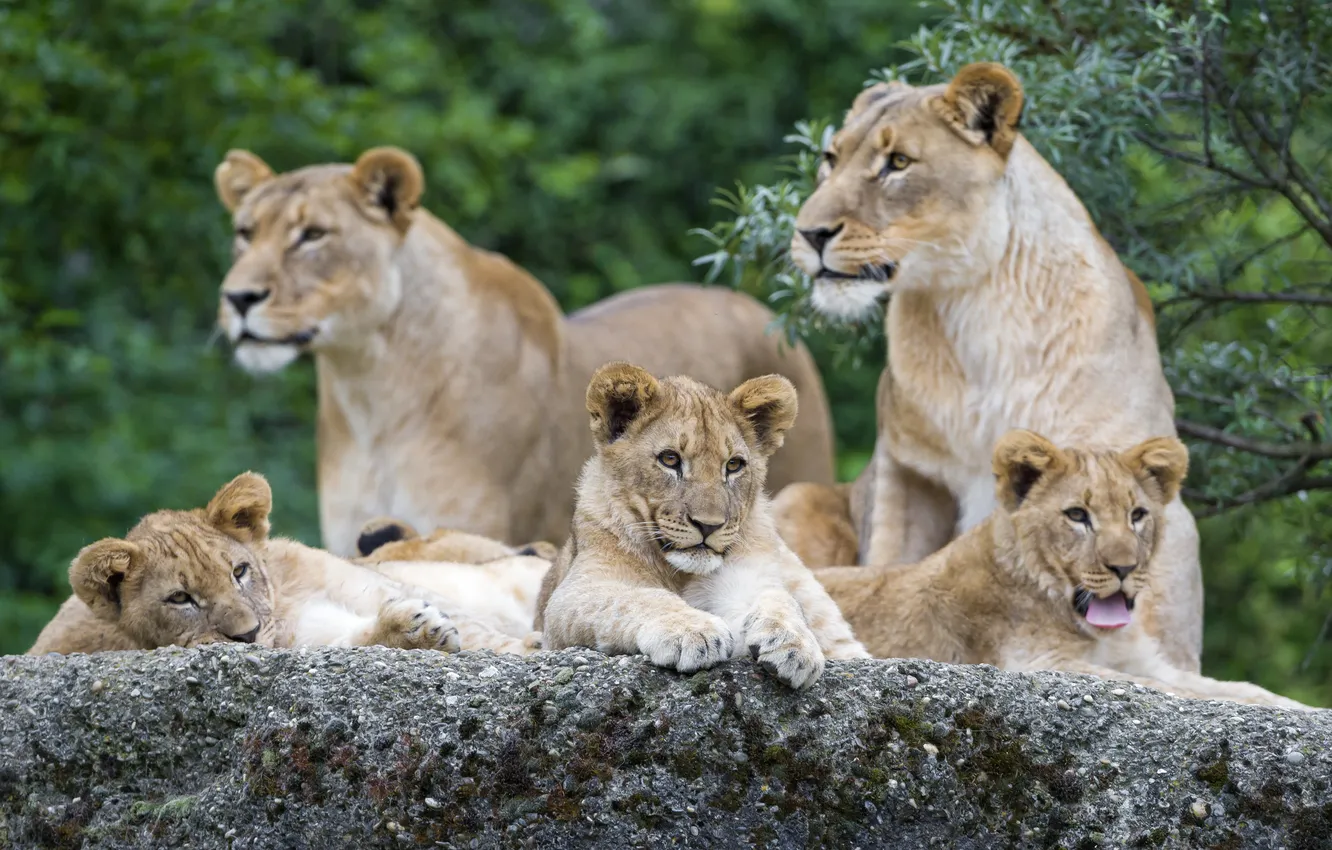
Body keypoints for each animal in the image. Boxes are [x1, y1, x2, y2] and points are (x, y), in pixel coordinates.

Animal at [28, 473, 542, 656]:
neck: (287, 600)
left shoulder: (374, 585)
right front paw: (415, 631)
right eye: (180, 598)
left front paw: (528, 647)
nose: (249, 635)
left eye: (239, 572)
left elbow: (485, 635)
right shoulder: (311, 638)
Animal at [537, 362, 868, 689]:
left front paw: (793, 643)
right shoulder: (572, 596)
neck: (679, 573)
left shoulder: (747, 579)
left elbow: (779, 598)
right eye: (670, 459)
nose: (708, 526)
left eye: (733, 465)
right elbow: (636, 598)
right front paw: (692, 632)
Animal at [773, 62, 1203, 673]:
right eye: (831, 159)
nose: (808, 234)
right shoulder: (911, 475)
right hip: (799, 495)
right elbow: (892, 566)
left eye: (897, 163)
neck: (973, 309)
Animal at [816, 430, 1312, 710]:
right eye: (1077, 516)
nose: (1124, 567)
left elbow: (1239, 688)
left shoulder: (1141, 658)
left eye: (1137, 515)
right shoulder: (1037, 664)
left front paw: (1298, 709)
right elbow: (1157, 688)